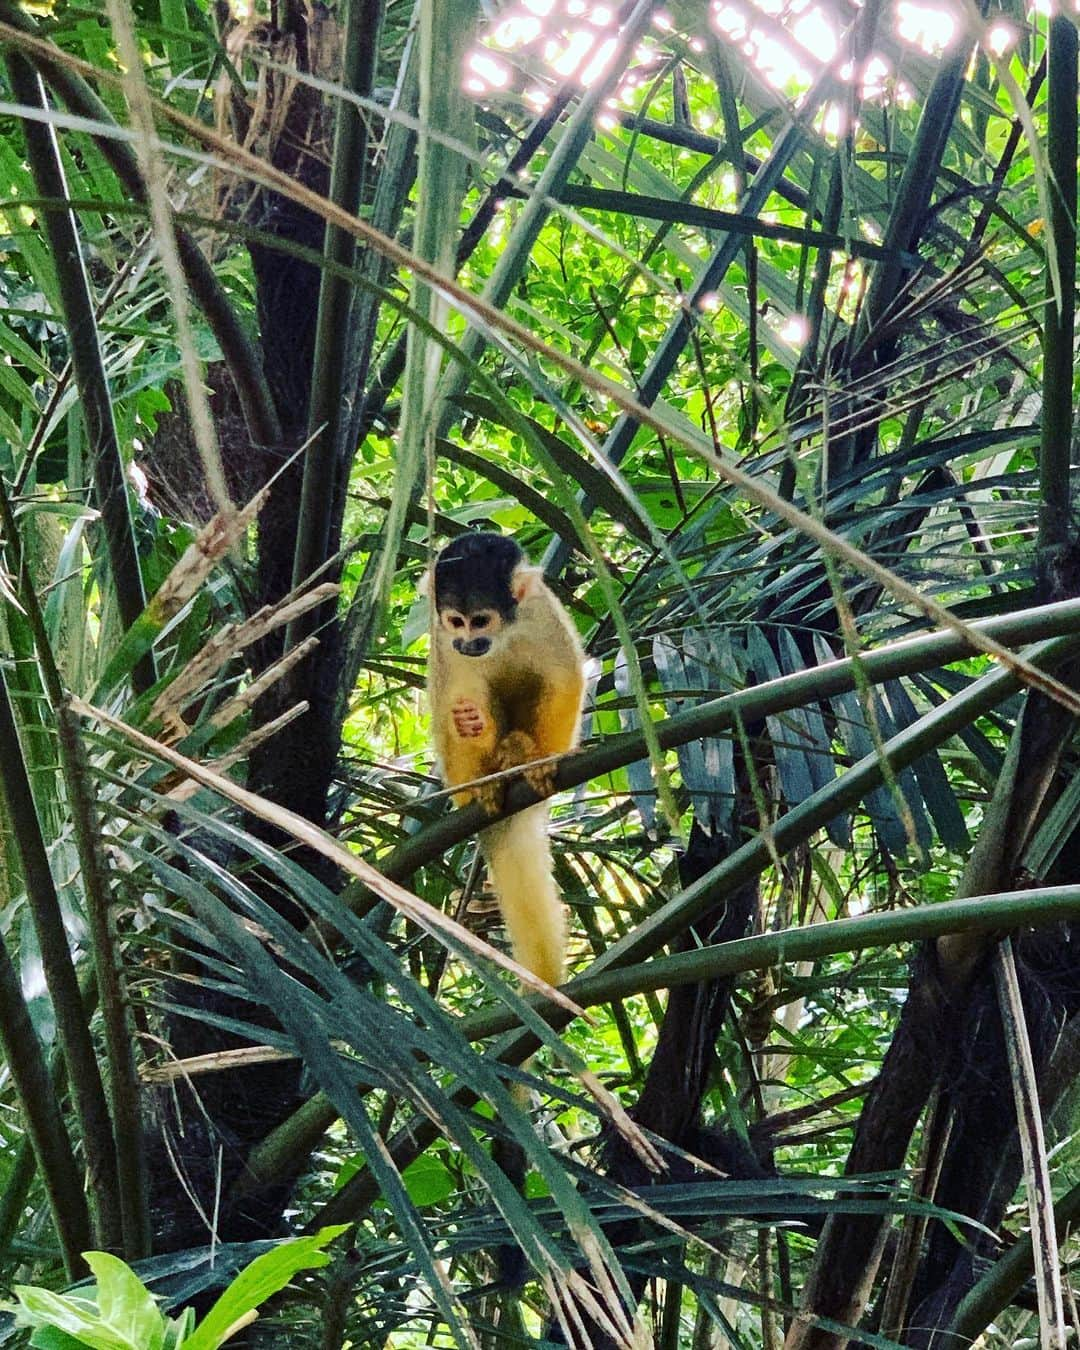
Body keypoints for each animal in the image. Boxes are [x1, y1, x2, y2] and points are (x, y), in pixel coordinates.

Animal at [426, 531, 585, 988]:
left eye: (480, 621)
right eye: (456, 621)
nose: (467, 643)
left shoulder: (542, 613)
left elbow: (563, 677)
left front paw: (542, 760)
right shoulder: (440, 640)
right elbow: (454, 695)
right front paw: (471, 724)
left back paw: (518, 752)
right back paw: (486, 777)